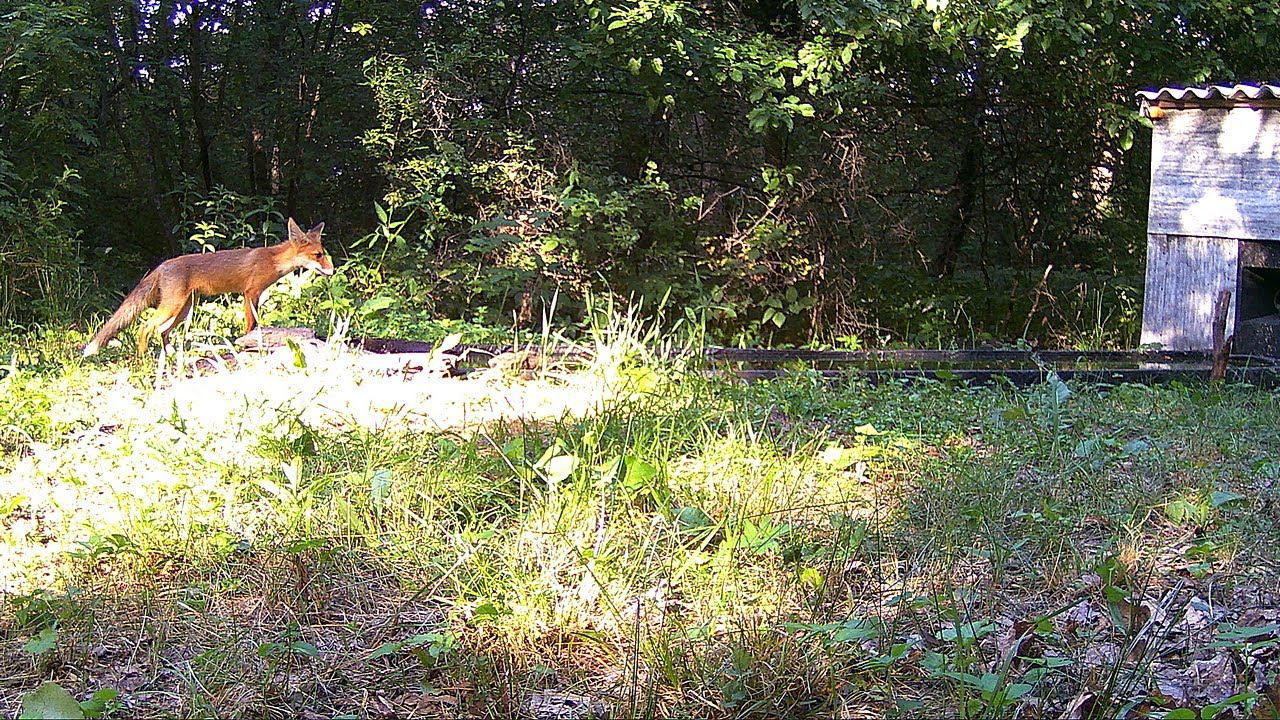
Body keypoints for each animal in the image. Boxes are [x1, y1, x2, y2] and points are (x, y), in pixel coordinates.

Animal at [82, 218, 336, 356]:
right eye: (318, 255)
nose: (332, 271)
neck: (273, 260)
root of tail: (162, 264)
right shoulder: (250, 293)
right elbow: (250, 324)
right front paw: (246, 343)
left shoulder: (254, 295)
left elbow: (255, 324)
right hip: (173, 307)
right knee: (145, 328)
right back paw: (144, 358)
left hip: (183, 309)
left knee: (162, 332)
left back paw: (169, 356)